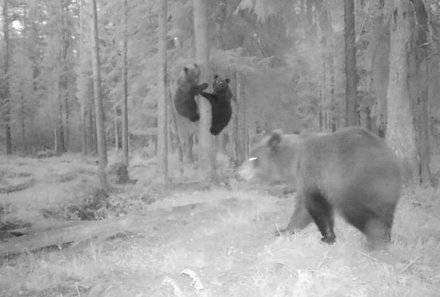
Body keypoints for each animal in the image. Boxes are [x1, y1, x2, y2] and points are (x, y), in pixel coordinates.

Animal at [239, 126, 400, 249]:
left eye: (253, 158)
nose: (238, 172)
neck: (294, 162)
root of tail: (388, 158)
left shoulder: (313, 173)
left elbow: (316, 206)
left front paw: (327, 238)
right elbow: (302, 209)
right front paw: (283, 230)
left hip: (356, 183)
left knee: (357, 212)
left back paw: (373, 240)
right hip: (386, 189)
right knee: (386, 213)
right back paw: (385, 237)